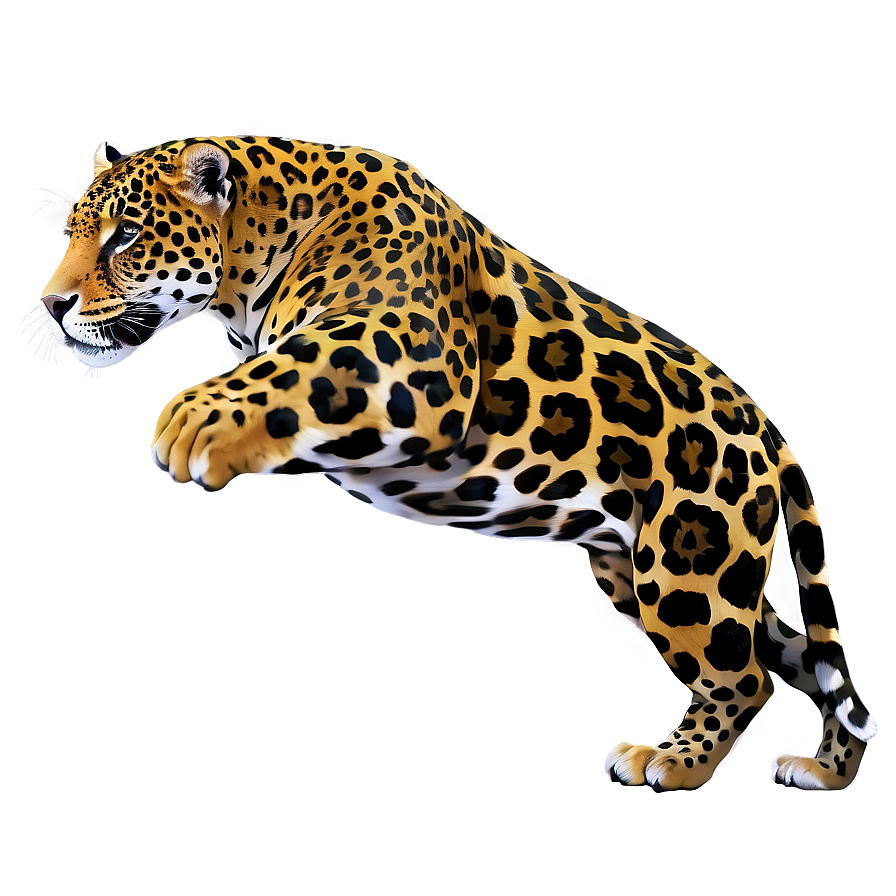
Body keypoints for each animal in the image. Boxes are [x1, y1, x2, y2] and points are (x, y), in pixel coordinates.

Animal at [35, 135, 878, 791]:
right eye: (75, 234)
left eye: (125, 237)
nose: (48, 305)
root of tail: (767, 427)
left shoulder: (413, 349)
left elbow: (294, 367)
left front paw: (199, 418)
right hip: (667, 573)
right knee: (802, 658)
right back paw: (829, 770)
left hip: (686, 576)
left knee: (750, 675)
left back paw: (676, 762)